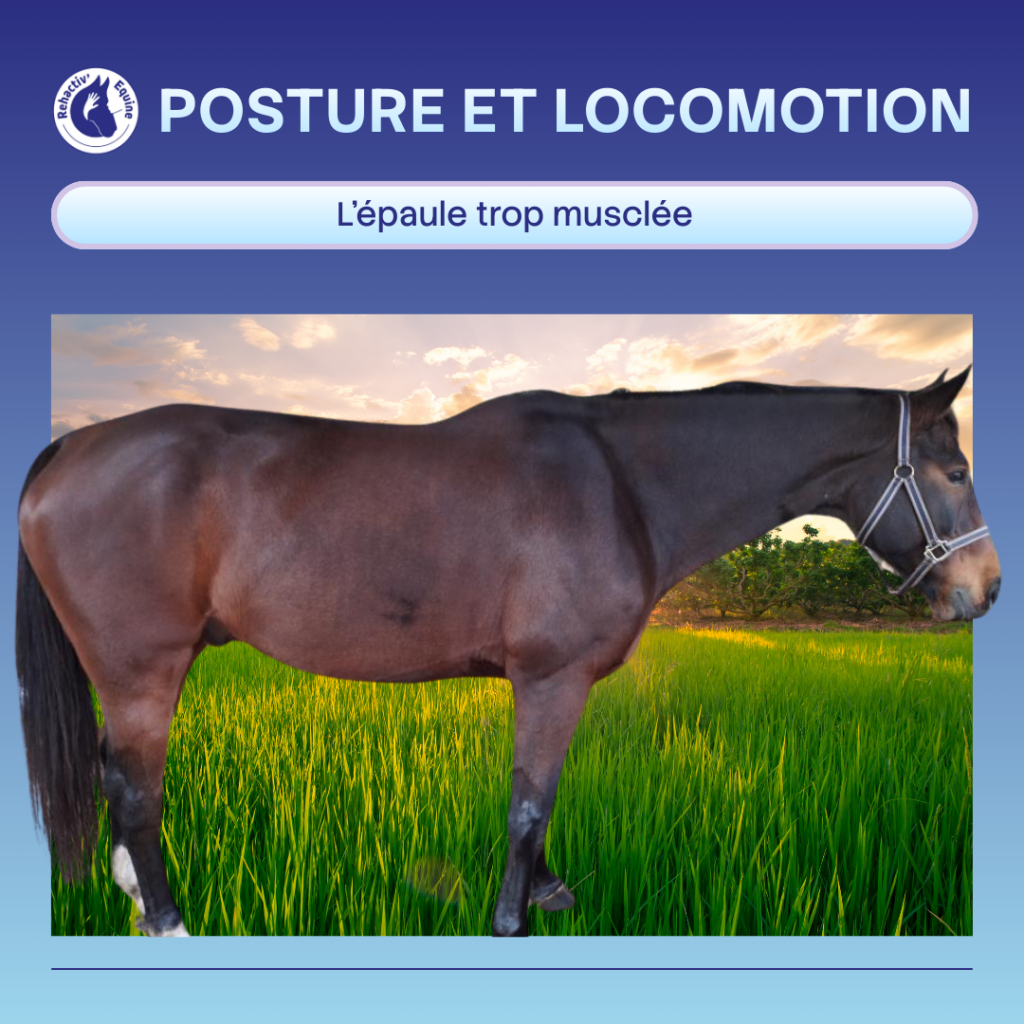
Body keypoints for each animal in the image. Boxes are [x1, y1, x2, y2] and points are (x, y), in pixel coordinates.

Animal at [16, 367, 999, 938]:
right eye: (954, 472)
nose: (984, 589)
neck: (623, 485)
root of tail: (72, 444)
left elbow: (537, 798)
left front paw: (549, 893)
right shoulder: (552, 678)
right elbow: (532, 801)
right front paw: (513, 916)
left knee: (115, 778)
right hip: (142, 670)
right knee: (135, 792)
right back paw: (168, 922)